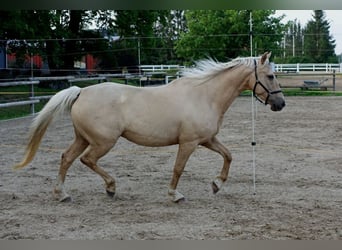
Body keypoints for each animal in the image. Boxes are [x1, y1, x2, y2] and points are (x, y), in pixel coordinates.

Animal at [13, 51, 284, 202]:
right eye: (271, 76)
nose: (281, 103)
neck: (204, 95)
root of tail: (81, 92)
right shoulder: (189, 143)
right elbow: (178, 168)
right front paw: (175, 195)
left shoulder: (207, 140)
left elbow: (228, 155)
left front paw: (216, 184)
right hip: (103, 141)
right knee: (86, 160)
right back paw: (110, 187)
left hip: (83, 138)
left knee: (66, 158)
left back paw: (62, 194)